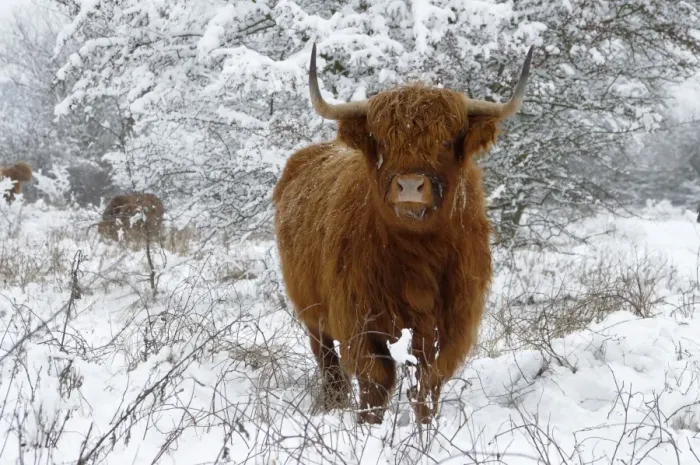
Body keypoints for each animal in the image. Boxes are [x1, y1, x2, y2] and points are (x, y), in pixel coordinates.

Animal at [272, 43, 534, 425]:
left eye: (445, 141)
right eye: (382, 142)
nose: (410, 186)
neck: (418, 257)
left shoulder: (451, 324)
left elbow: (428, 382)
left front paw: (426, 427)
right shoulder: (357, 320)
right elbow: (375, 381)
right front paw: (368, 427)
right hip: (311, 311)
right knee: (327, 360)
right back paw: (335, 401)